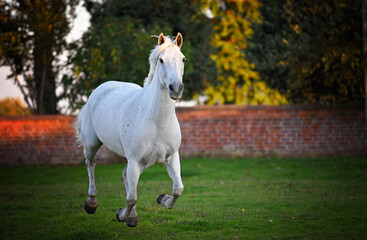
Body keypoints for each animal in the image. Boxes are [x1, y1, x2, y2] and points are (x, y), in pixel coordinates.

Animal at [73, 33, 185, 227]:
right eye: (161, 60)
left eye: (183, 59)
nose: (176, 88)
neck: (157, 122)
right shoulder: (134, 160)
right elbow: (132, 198)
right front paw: (122, 215)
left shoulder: (170, 157)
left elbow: (178, 189)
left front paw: (162, 198)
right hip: (92, 145)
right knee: (90, 164)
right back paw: (91, 204)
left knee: (124, 175)